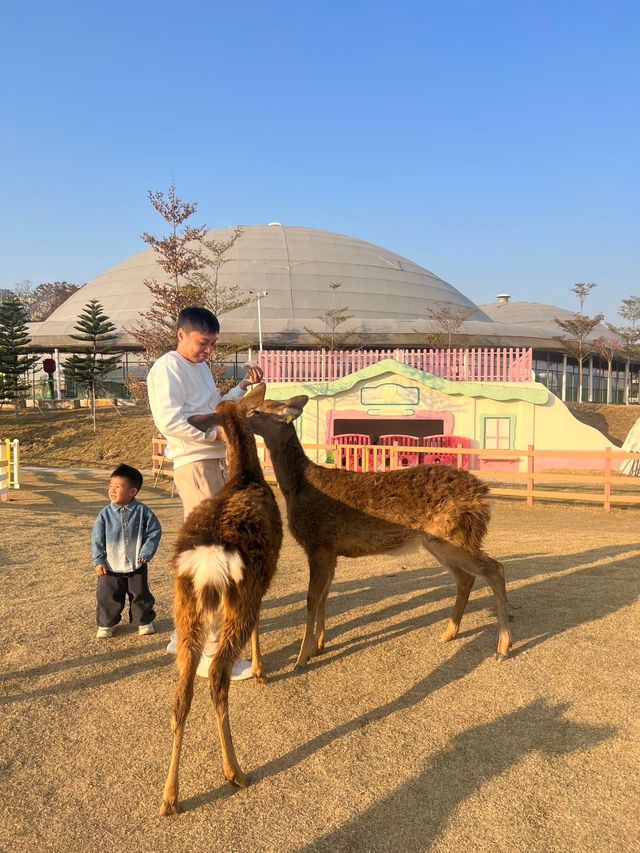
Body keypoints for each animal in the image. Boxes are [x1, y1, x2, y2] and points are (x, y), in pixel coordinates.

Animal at [159, 382, 282, 816]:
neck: (246, 477)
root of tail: (208, 558)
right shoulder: (263, 580)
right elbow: (261, 626)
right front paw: (261, 671)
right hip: (237, 599)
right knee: (216, 676)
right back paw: (235, 771)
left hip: (186, 606)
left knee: (181, 693)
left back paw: (169, 797)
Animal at [248, 394, 512, 672]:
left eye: (256, 411)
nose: (241, 413)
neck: (299, 487)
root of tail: (485, 497)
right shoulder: (331, 550)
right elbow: (324, 596)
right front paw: (318, 646)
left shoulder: (318, 542)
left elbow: (311, 599)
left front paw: (301, 659)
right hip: (440, 541)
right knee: (466, 577)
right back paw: (449, 633)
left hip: (456, 534)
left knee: (495, 569)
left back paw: (502, 647)